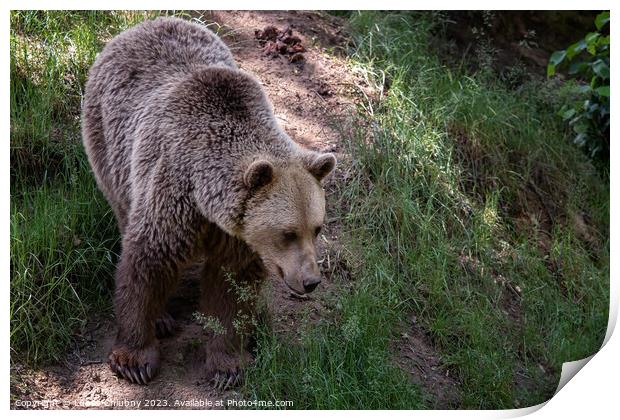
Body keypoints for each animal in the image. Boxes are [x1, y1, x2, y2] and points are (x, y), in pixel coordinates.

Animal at [81, 16, 336, 386]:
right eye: (287, 233)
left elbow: (231, 288)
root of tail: (145, 24)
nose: (311, 281)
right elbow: (147, 262)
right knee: (123, 209)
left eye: (316, 229)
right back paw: (162, 318)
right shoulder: (173, 192)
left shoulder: (239, 232)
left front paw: (227, 365)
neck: (207, 200)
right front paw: (135, 359)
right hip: (109, 144)